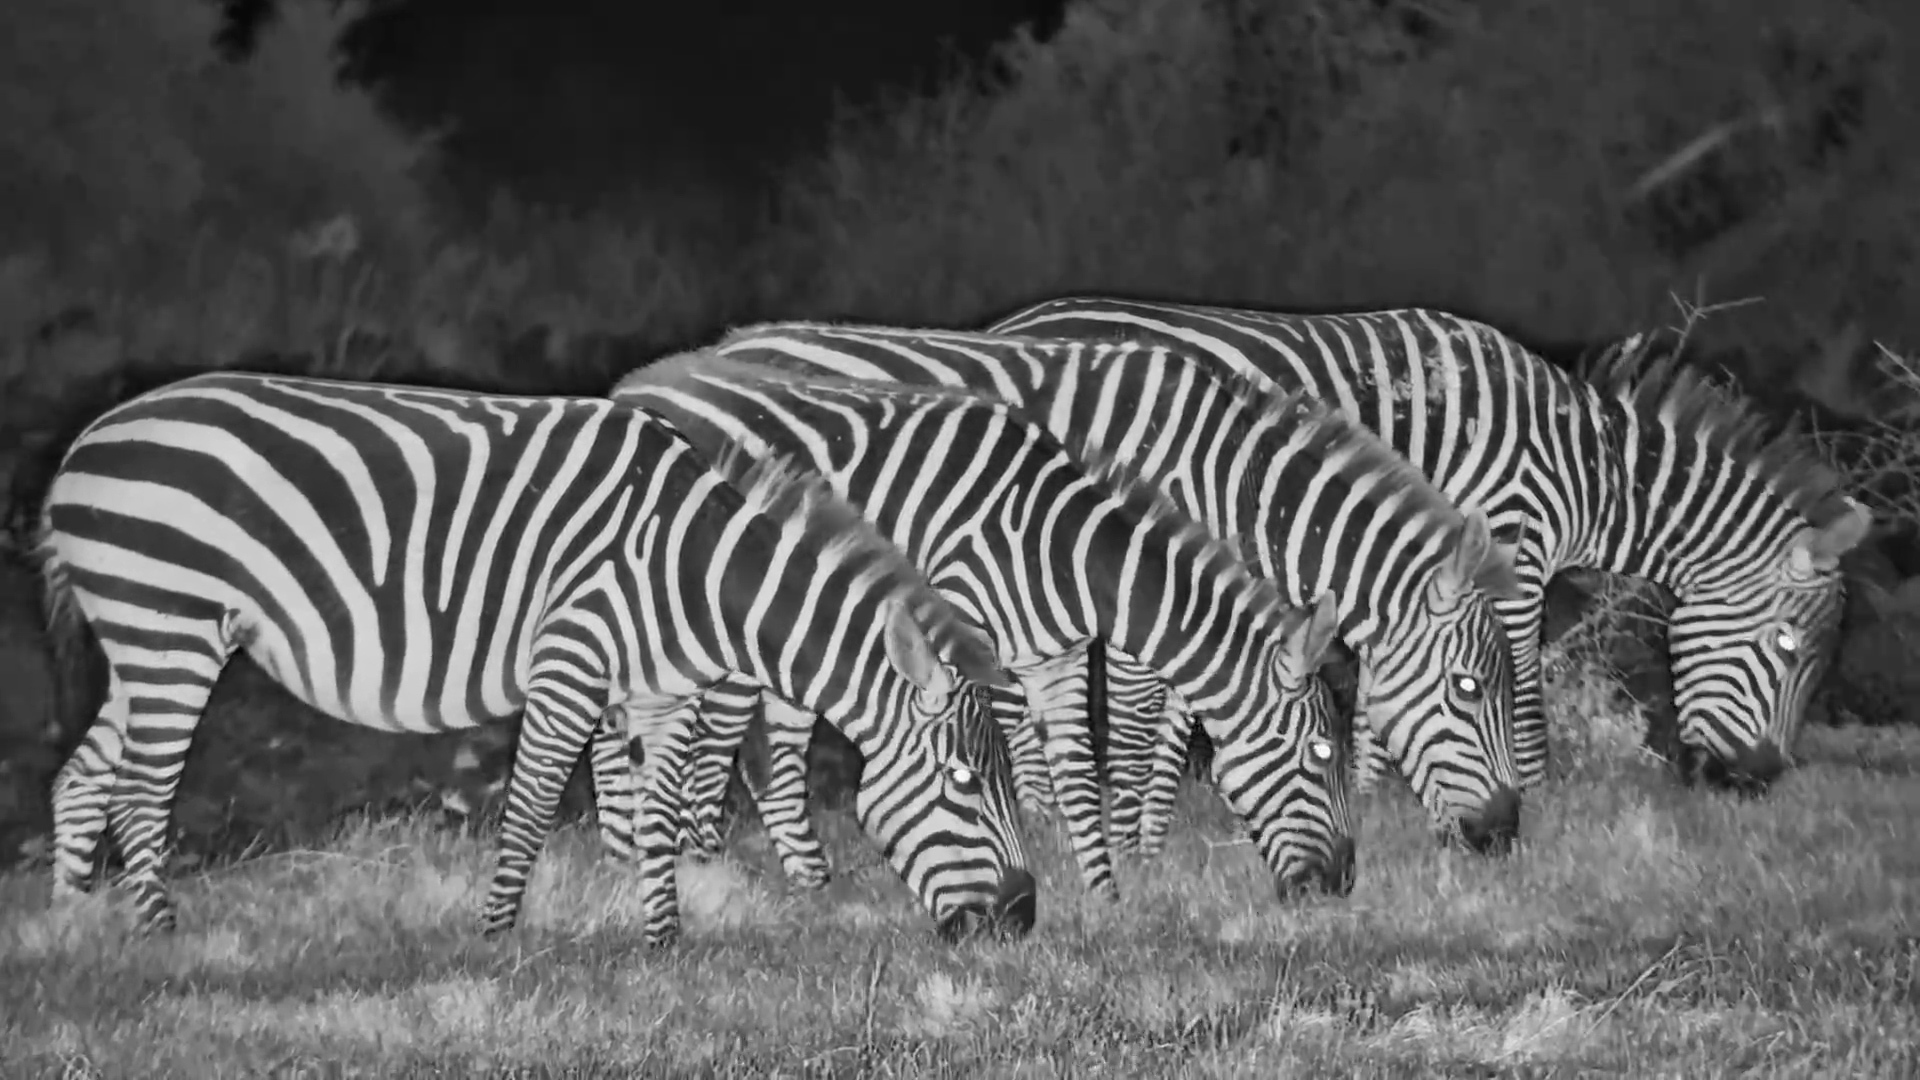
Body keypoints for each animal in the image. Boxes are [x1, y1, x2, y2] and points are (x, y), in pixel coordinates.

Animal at [34, 370, 1036, 947]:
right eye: (962, 783)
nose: (1023, 922)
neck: (693, 569)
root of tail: (82, 446)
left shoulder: (661, 692)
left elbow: (658, 812)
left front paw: (663, 941)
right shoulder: (572, 658)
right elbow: (530, 806)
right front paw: (497, 940)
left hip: (149, 641)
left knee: (82, 779)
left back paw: (74, 931)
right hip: (168, 626)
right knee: (138, 789)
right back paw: (159, 936)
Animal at [611, 358, 1358, 901]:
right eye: (1322, 753)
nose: (1342, 884)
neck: (1061, 549)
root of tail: (635, 384)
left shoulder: (1055, 658)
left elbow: (1078, 772)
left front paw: (1104, 893)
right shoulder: (968, 634)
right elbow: (994, 758)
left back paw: (793, 882)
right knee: (715, 747)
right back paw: (700, 867)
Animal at [677, 321, 1527, 859]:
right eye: (1469, 686)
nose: (1506, 835)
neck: (1222, 474)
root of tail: (730, 346)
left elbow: (1182, 719)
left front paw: (1146, 841)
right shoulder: (1133, 596)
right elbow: (1136, 724)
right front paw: (1125, 840)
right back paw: (702, 858)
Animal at [987, 299, 1872, 793]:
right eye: (1788, 649)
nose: (1755, 785)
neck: (1587, 467)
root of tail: (1008, 328)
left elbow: (1398, 682)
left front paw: (1382, 786)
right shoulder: (1511, 548)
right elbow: (1520, 684)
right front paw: (1538, 789)